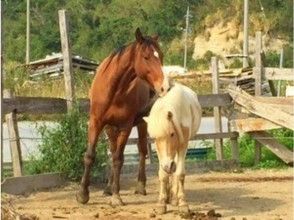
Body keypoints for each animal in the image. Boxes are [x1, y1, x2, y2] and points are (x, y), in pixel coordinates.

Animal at [76, 27, 170, 206]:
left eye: (161, 56)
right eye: (146, 57)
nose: (164, 87)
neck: (114, 89)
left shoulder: (125, 127)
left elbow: (118, 159)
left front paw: (116, 196)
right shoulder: (96, 122)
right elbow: (90, 155)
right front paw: (83, 194)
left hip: (141, 123)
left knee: (141, 150)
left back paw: (140, 185)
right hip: (110, 128)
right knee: (113, 151)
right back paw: (108, 187)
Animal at [143, 82, 202, 213]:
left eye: (172, 134)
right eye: (154, 138)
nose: (167, 165)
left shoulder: (183, 146)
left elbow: (179, 174)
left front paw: (182, 203)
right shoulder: (161, 154)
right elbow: (163, 175)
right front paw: (161, 203)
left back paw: (174, 198)